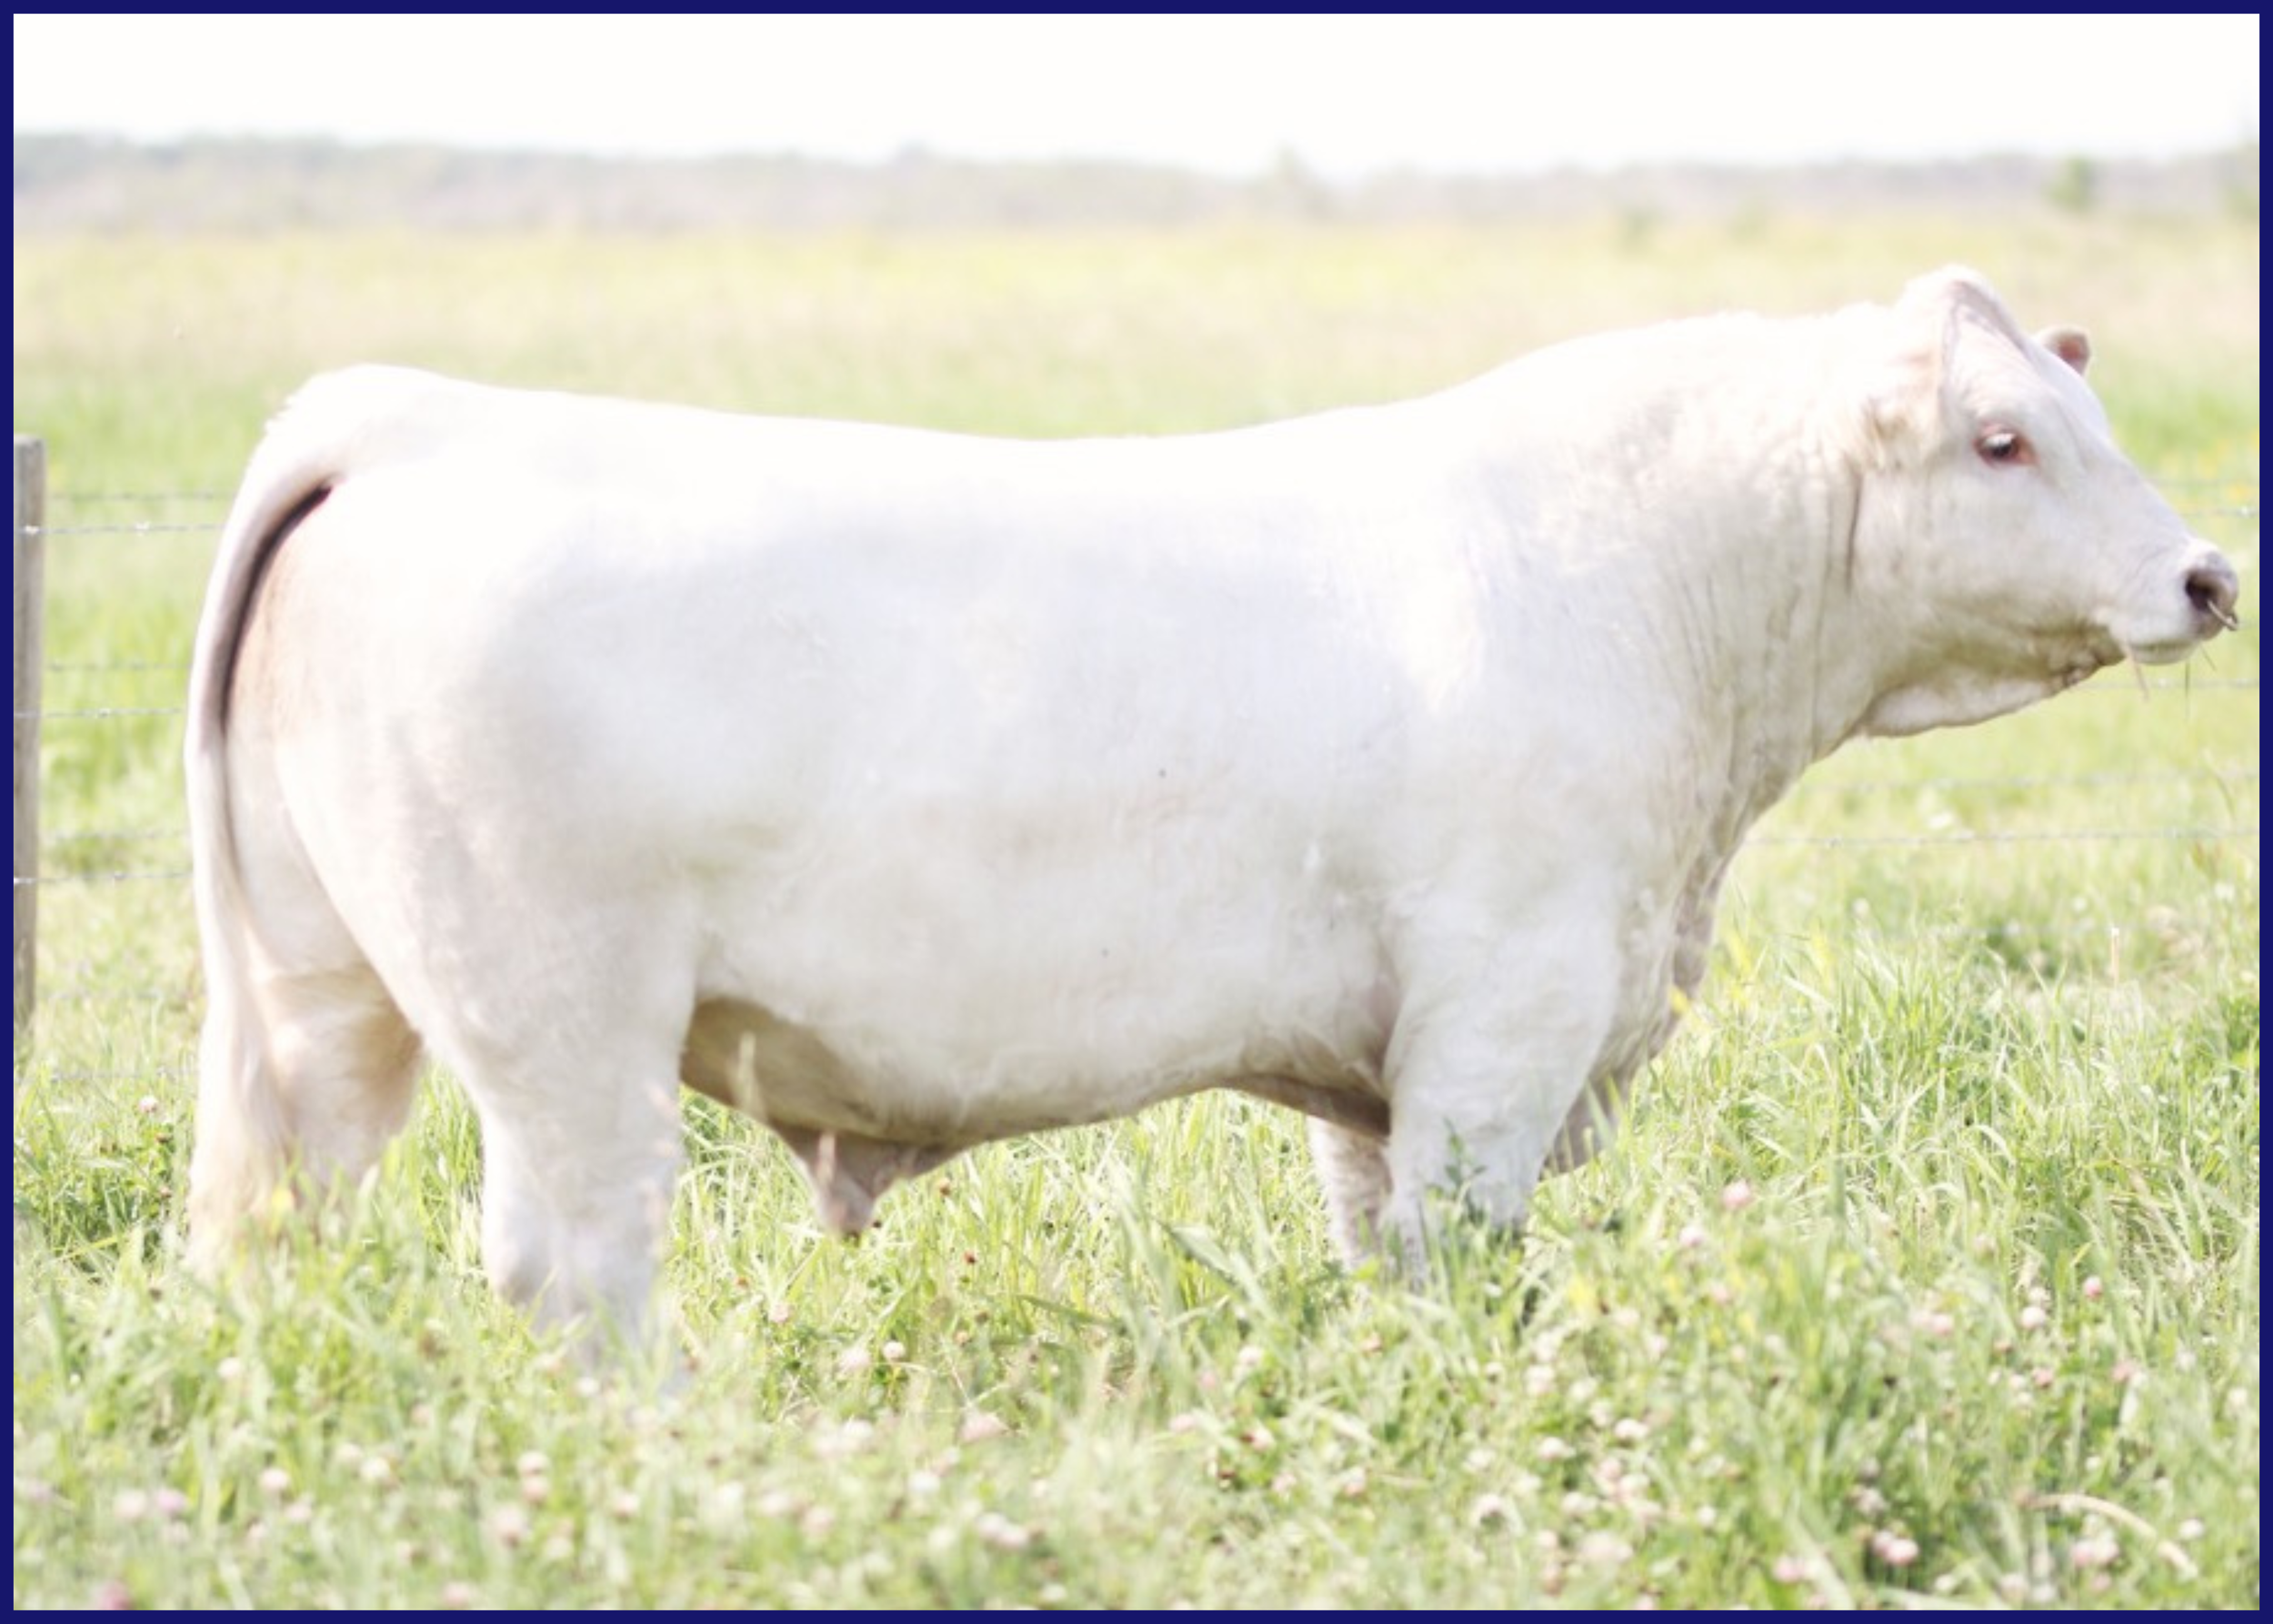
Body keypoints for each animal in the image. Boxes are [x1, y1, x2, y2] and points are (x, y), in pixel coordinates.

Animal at [182, 268, 2240, 1347]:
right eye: (2000, 440)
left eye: (2086, 419)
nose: (2208, 576)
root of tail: (411, 411)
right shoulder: (1503, 1021)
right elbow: (1458, 1246)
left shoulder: (1381, 1071)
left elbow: (1382, 1251)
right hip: (563, 1026)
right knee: (572, 1265)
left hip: (315, 996)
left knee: (272, 1212)